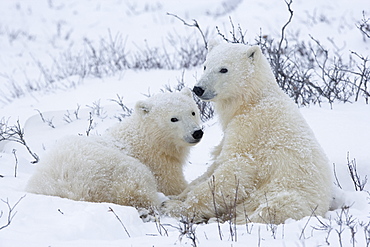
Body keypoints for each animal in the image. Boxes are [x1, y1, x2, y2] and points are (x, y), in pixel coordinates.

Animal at [27, 89, 204, 208]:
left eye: (193, 112)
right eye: (174, 118)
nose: (197, 132)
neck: (147, 140)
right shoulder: (159, 165)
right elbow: (174, 186)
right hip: (108, 170)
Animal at [162, 42, 332, 224]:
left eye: (224, 69)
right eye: (205, 65)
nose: (198, 89)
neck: (251, 101)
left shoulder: (250, 130)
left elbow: (235, 170)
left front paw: (175, 207)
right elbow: (214, 166)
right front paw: (175, 196)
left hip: (286, 196)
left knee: (270, 209)